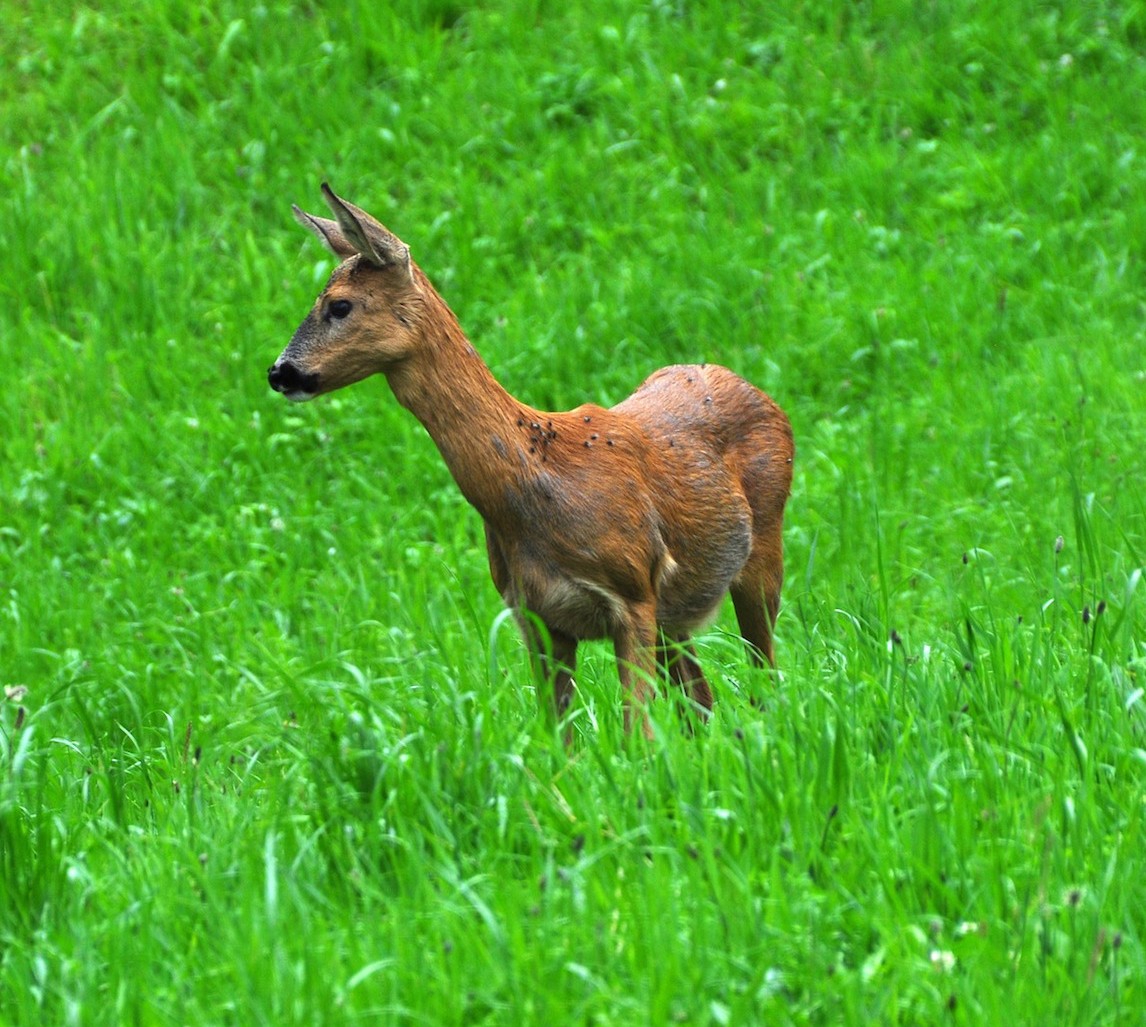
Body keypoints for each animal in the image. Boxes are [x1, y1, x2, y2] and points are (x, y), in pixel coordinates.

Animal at [265, 184, 797, 738]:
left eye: (339, 306)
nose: (280, 372)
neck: (539, 486)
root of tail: (763, 396)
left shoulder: (634, 592)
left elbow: (637, 734)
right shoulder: (536, 615)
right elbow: (559, 737)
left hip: (760, 551)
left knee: (764, 679)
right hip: (679, 612)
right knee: (703, 699)